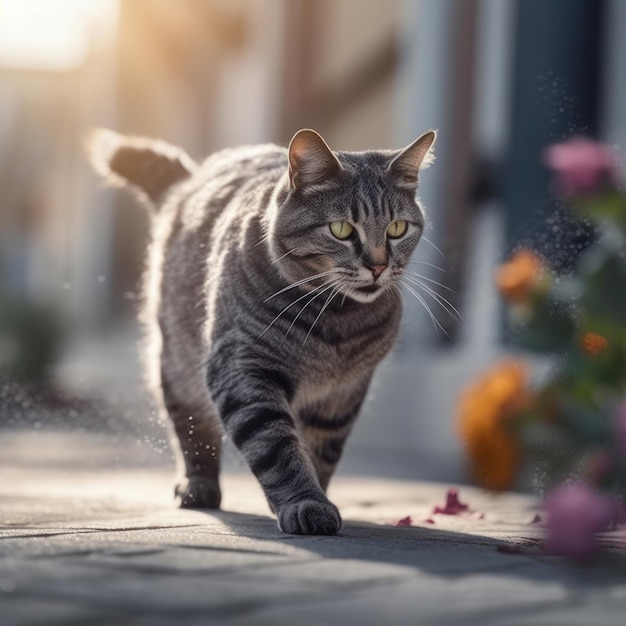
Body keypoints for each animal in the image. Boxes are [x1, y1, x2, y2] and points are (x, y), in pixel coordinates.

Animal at [91, 125, 434, 532]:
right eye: (341, 229)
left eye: (397, 228)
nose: (379, 266)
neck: (334, 319)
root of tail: (190, 179)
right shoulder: (243, 368)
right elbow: (275, 447)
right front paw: (305, 502)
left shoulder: (342, 394)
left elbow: (321, 451)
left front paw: (313, 493)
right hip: (177, 367)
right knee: (192, 430)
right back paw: (198, 485)